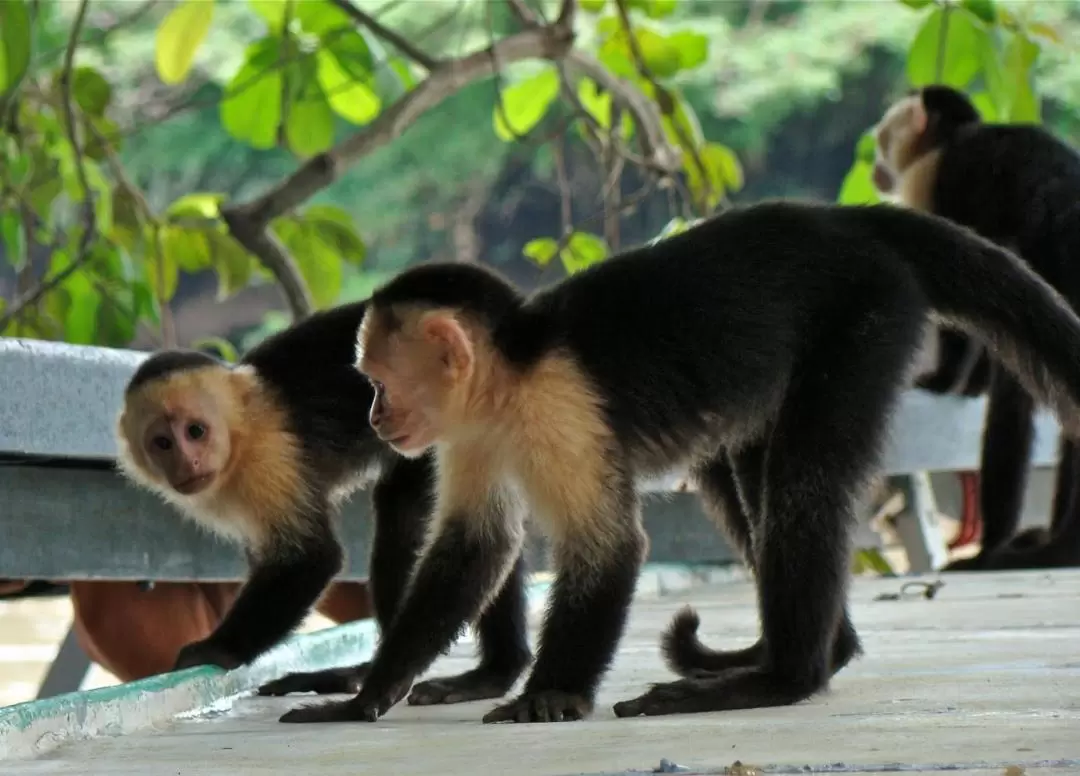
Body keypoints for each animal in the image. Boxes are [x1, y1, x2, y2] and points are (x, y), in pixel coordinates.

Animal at [115, 300, 531, 708]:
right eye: (162, 443)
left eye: (195, 431)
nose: (187, 464)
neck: (241, 432)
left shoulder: (268, 455)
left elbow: (311, 559)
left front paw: (217, 649)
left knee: (412, 521)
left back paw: (484, 672)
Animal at [272, 200, 1080, 729]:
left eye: (377, 382)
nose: (376, 418)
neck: (511, 380)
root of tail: (846, 218)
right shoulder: (469, 433)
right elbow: (476, 546)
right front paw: (366, 698)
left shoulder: (561, 407)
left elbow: (609, 547)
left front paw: (551, 695)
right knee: (743, 479)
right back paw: (812, 652)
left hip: (865, 314)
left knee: (804, 484)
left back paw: (780, 680)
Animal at [872, 83, 1080, 569]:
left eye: (882, 139)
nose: (873, 165)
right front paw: (970, 386)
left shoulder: (930, 177)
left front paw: (942, 379)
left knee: (1017, 394)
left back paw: (998, 547)